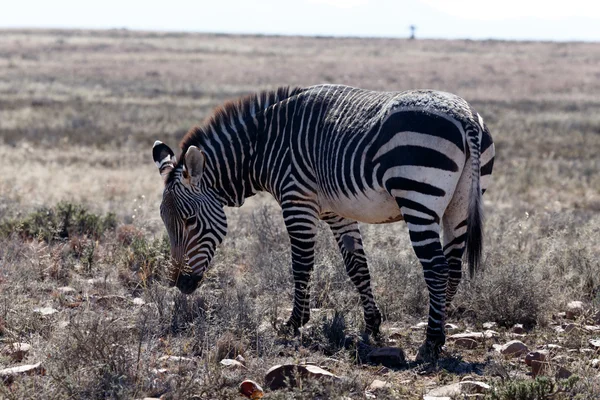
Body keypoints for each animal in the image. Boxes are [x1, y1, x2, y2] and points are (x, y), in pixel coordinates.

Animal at [152, 84, 494, 362]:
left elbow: (301, 265)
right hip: (459, 205)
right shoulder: (338, 213)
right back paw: (439, 327)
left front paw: (294, 323)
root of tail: (465, 117)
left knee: (436, 268)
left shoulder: (297, 201)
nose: (180, 284)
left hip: (418, 197)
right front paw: (372, 324)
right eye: (166, 222)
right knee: (453, 268)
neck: (263, 146)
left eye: (190, 221)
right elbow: (357, 268)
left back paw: (431, 342)